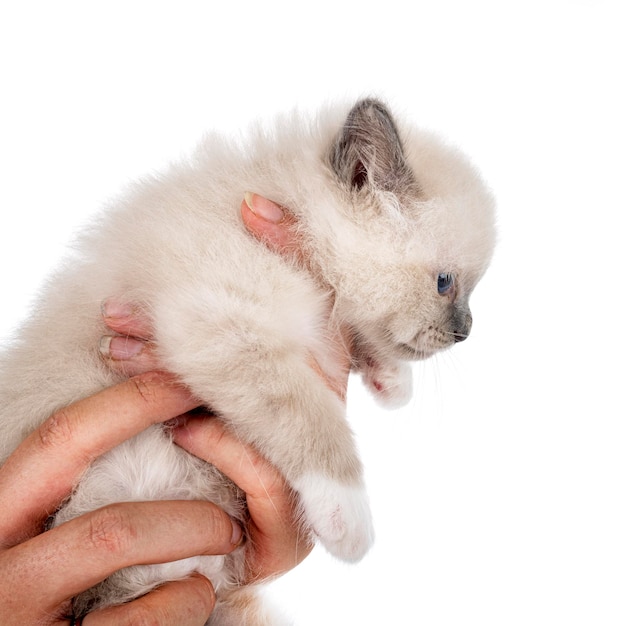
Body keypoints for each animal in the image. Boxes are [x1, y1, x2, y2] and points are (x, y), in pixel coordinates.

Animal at [0, 100, 498, 620]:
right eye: (445, 283)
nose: (465, 332)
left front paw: (391, 379)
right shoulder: (226, 328)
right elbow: (315, 425)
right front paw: (348, 519)